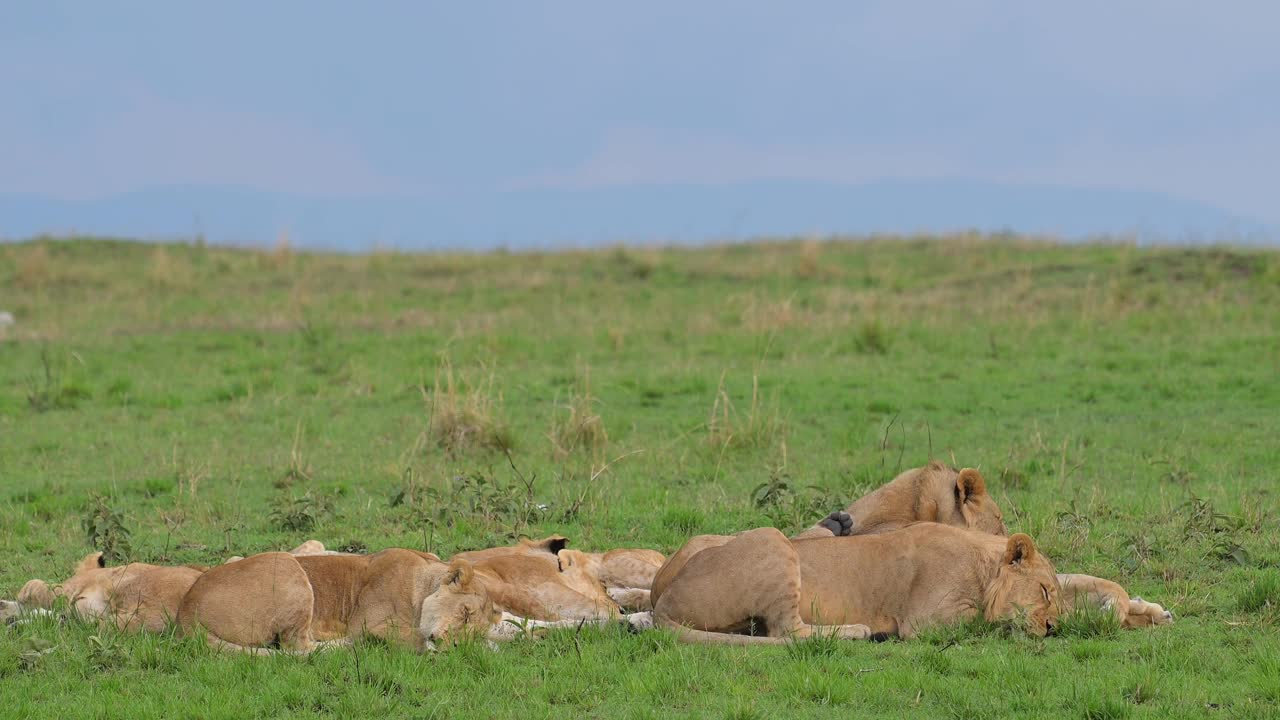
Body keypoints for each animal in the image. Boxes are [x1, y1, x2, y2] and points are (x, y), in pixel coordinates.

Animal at [650, 517, 1059, 640]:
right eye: (1044, 591)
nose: (1054, 627)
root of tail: (663, 603)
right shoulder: (924, 622)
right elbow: (983, 619)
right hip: (774, 540)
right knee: (786, 632)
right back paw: (860, 631)